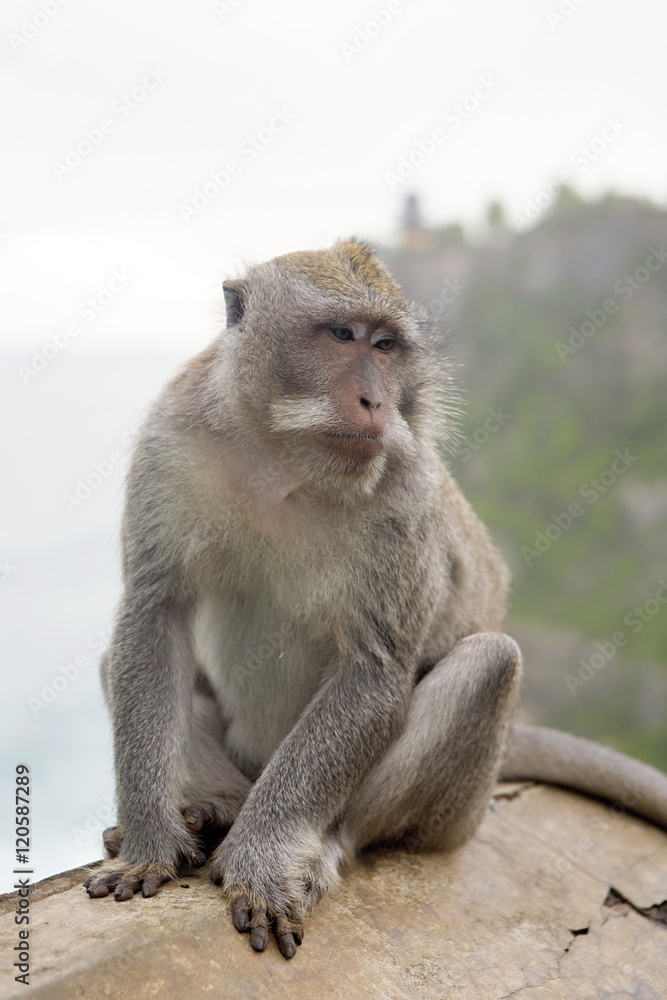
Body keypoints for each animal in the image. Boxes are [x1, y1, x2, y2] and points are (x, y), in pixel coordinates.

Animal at [83, 238, 667, 956]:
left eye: (385, 346)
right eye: (341, 335)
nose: (374, 401)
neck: (283, 458)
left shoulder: (404, 490)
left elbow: (374, 669)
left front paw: (264, 859)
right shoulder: (170, 440)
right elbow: (153, 615)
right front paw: (148, 844)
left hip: (458, 813)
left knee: (489, 664)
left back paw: (318, 846)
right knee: (125, 662)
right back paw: (213, 809)